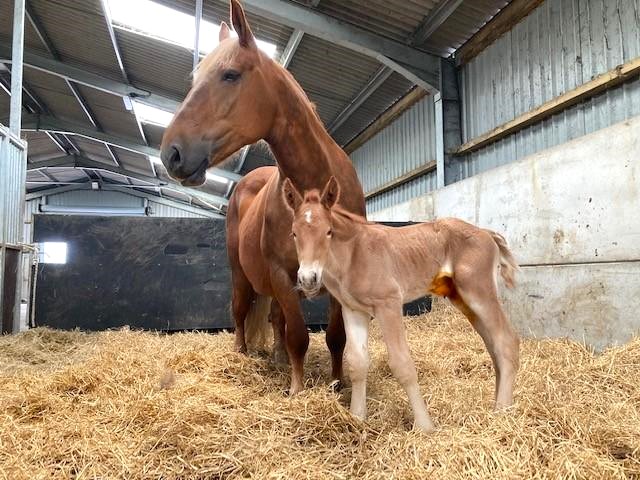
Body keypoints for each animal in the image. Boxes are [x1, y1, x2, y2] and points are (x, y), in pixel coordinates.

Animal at [284, 176, 520, 432]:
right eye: (294, 233)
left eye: (328, 232)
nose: (308, 279)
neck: (354, 254)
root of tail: (487, 233)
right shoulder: (353, 310)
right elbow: (357, 363)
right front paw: (357, 418)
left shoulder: (389, 304)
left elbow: (402, 364)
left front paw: (425, 426)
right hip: (464, 300)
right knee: (493, 347)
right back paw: (496, 404)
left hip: (479, 293)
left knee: (506, 341)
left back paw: (502, 412)